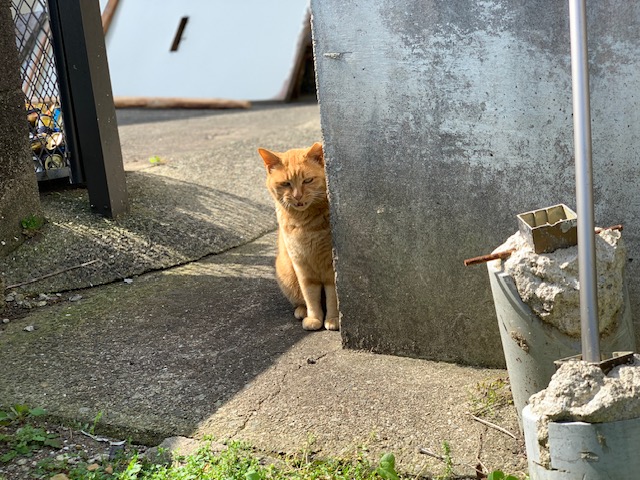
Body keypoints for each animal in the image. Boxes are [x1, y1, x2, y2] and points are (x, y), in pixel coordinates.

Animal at [258, 142, 340, 330]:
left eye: (307, 180)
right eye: (285, 184)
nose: (297, 196)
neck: (306, 223)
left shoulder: (330, 268)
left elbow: (332, 297)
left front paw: (333, 319)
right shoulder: (302, 266)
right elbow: (310, 296)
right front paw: (314, 318)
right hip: (286, 273)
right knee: (300, 300)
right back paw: (302, 311)